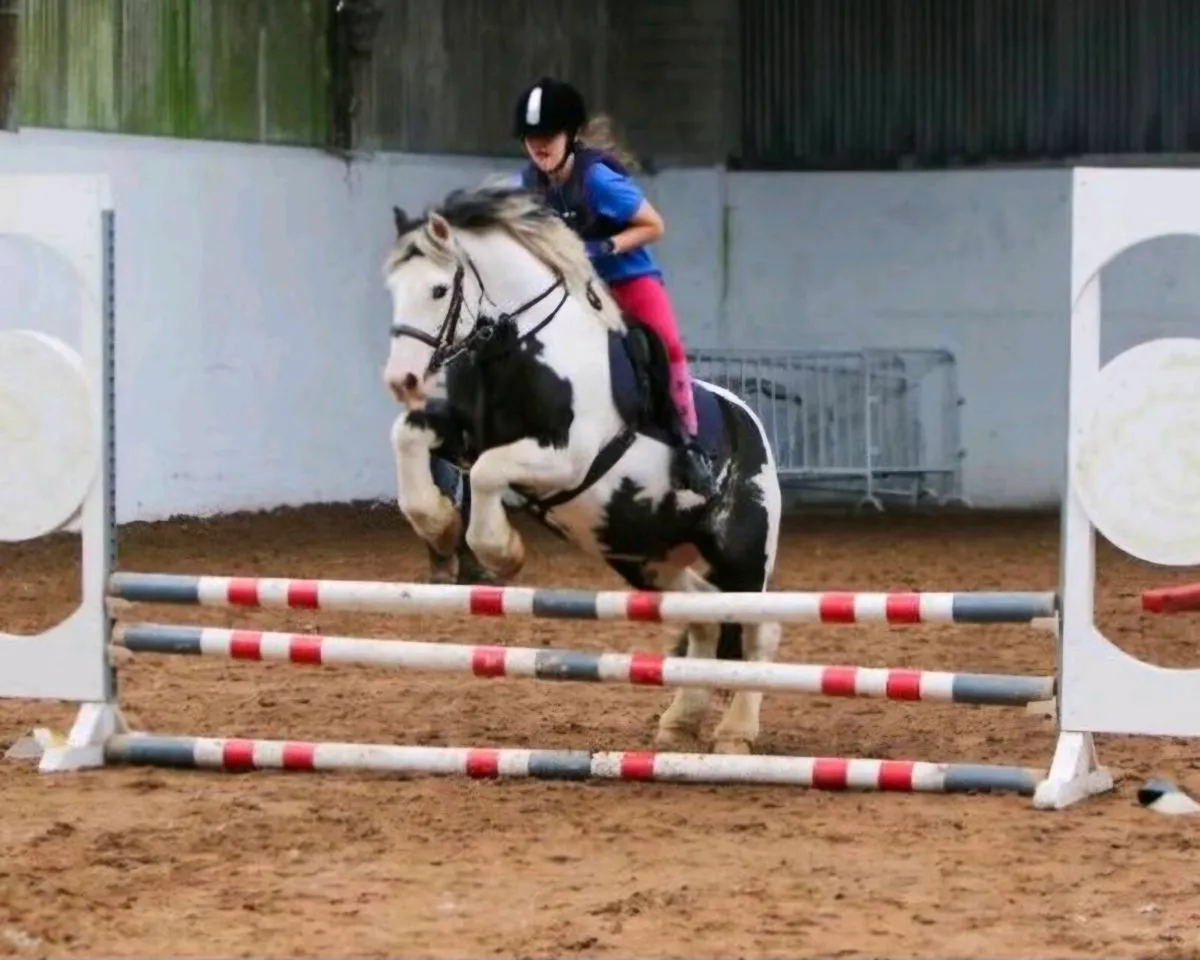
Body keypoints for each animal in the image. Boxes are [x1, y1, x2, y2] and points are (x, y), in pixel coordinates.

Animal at [381, 183, 783, 755]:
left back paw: (736, 734)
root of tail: (752, 425)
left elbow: (486, 473)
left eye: (438, 290)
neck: (524, 349)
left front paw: (501, 553)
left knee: (756, 630)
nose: (403, 380)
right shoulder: (464, 434)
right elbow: (411, 437)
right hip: (642, 554)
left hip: (743, 554)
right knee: (704, 619)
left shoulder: (567, 457)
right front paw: (439, 526)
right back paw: (679, 722)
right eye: (392, 288)